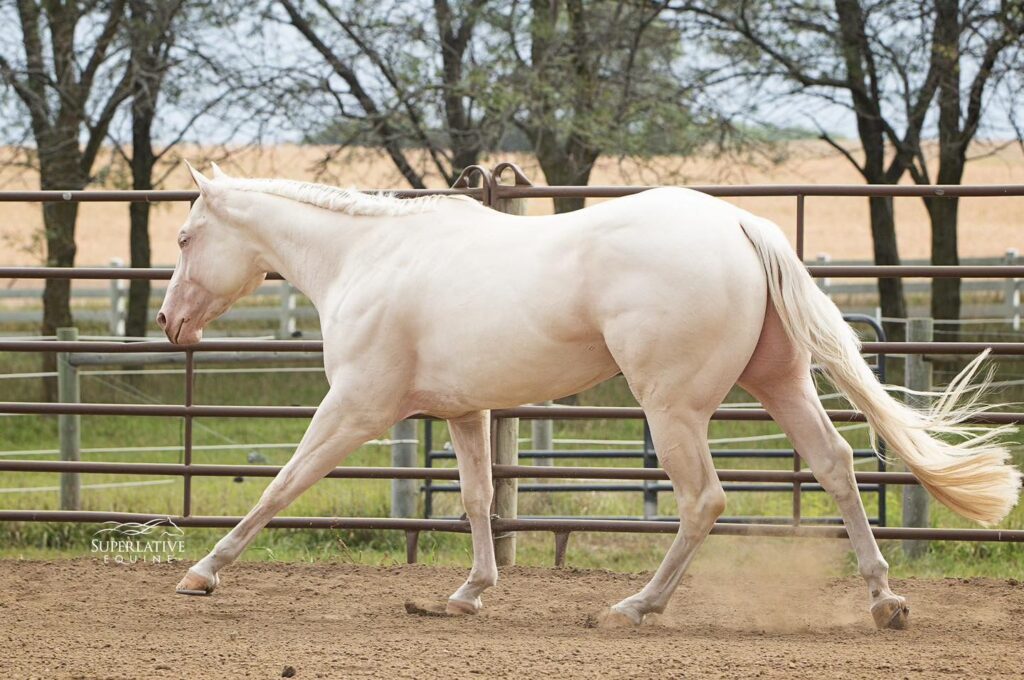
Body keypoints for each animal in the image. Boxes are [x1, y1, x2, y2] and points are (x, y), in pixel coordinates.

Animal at [159, 161, 1015, 630]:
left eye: (185, 238)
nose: (170, 322)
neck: (367, 257)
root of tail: (739, 226)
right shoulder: (465, 413)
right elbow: (477, 501)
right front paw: (468, 594)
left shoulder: (356, 408)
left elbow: (281, 486)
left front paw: (202, 571)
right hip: (779, 382)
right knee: (836, 465)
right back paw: (884, 601)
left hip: (672, 408)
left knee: (704, 500)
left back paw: (635, 607)